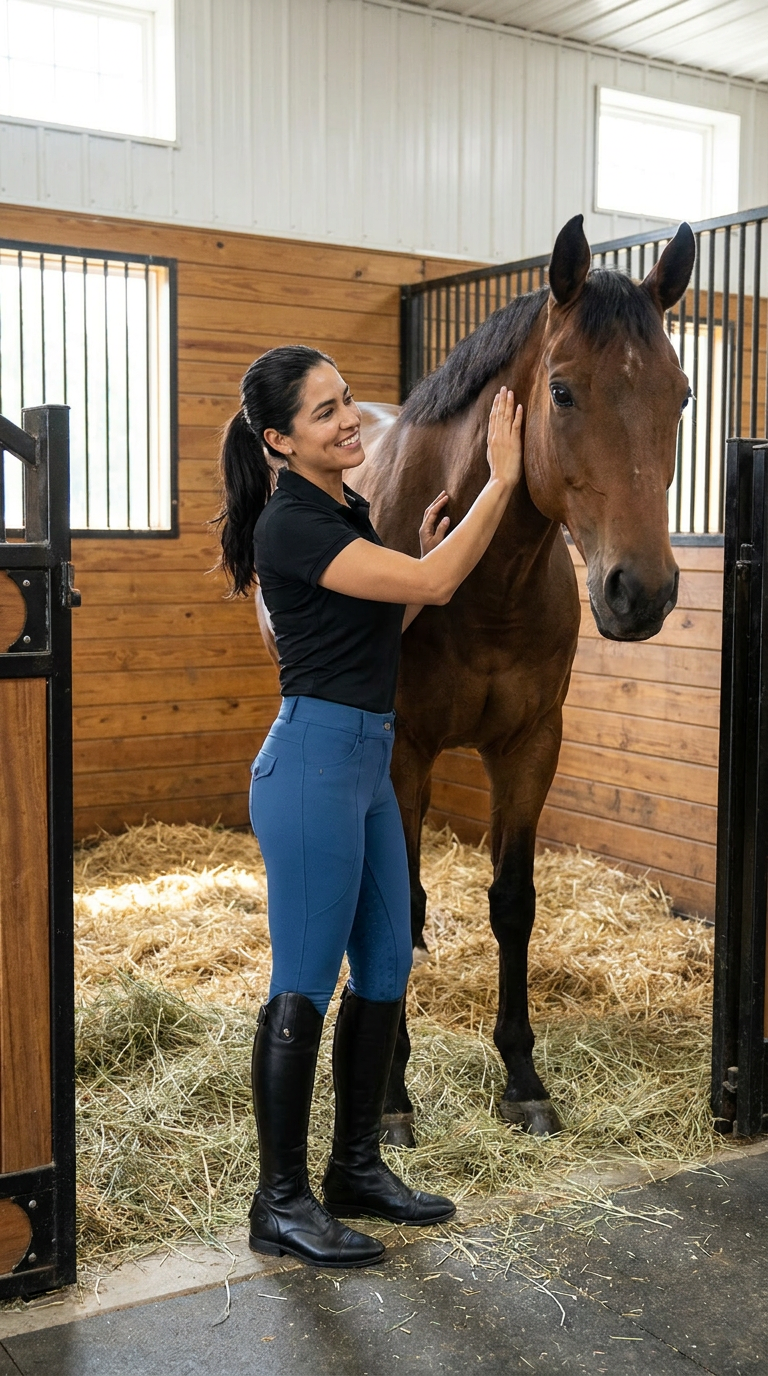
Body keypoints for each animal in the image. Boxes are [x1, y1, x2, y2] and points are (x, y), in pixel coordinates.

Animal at [258, 213, 695, 1144]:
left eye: (680, 395)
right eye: (562, 391)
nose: (640, 592)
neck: (487, 583)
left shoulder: (531, 748)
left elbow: (512, 902)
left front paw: (523, 1079)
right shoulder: (401, 755)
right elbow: (400, 903)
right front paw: (389, 1094)